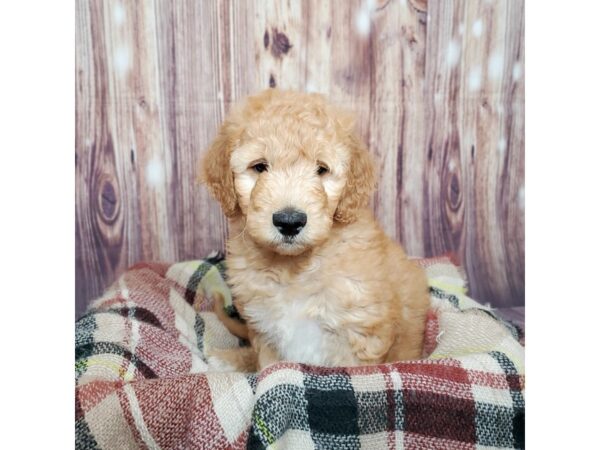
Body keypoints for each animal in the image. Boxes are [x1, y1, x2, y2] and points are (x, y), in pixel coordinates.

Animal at [204, 88, 428, 370]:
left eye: (321, 169)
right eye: (260, 167)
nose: (289, 221)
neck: (293, 268)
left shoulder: (358, 334)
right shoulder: (265, 330)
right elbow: (267, 369)